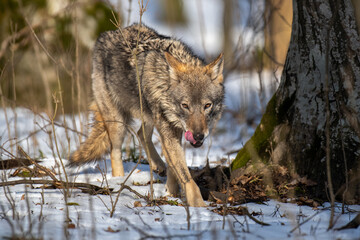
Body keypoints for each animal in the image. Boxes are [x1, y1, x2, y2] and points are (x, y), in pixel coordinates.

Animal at [68, 23, 224, 206]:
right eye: (185, 106)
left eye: (207, 105)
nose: (198, 136)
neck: (163, 82)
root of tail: (107, 33)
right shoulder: (169, 131)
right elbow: (186, 177)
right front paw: (198, 207)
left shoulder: (175, 130)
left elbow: (175, 167)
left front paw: (172, 191)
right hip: (118, 124)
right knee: (115, 151)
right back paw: (119, 181)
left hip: (147, 116)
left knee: (141, 134)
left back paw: (158, 165)